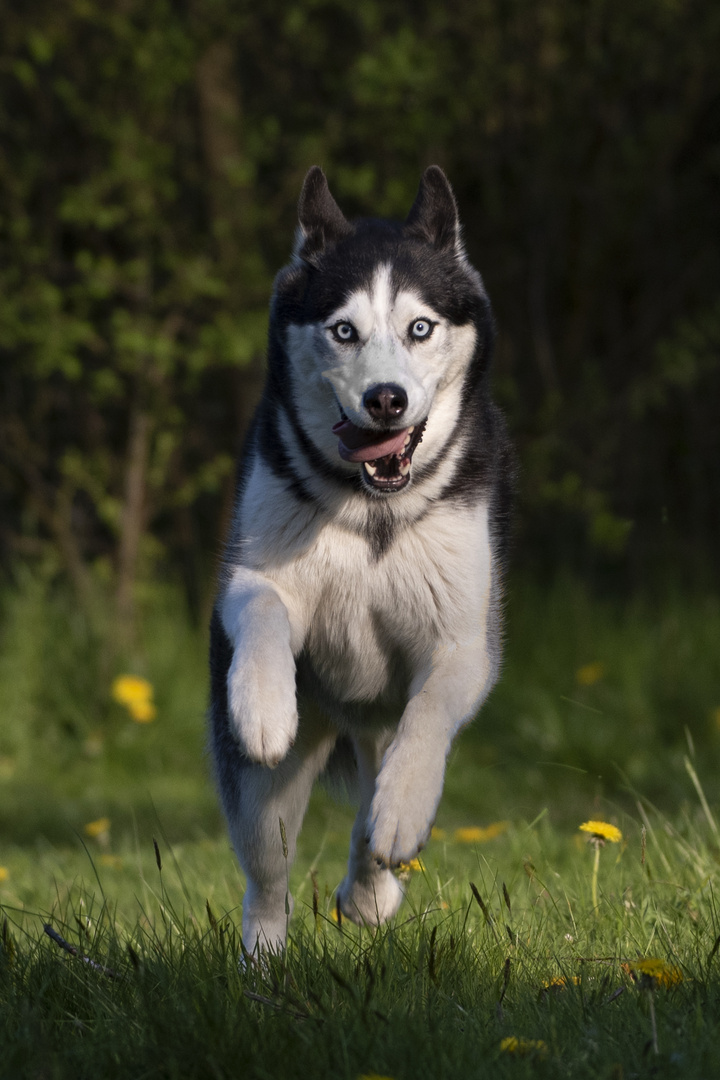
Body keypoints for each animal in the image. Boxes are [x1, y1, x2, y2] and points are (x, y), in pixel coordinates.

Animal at [208, 164, 511, 950]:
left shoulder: (465, 642)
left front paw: (402, 813)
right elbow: (261, 605)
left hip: (379, 722)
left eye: (420, 328)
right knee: (267, 882)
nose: (385, 399)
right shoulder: (252, 574)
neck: (371, 509)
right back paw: (262, 960)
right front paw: (261, 703)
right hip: (268, 800)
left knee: (371, 814)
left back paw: (372, 889)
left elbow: (431, 713)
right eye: (343, 331)